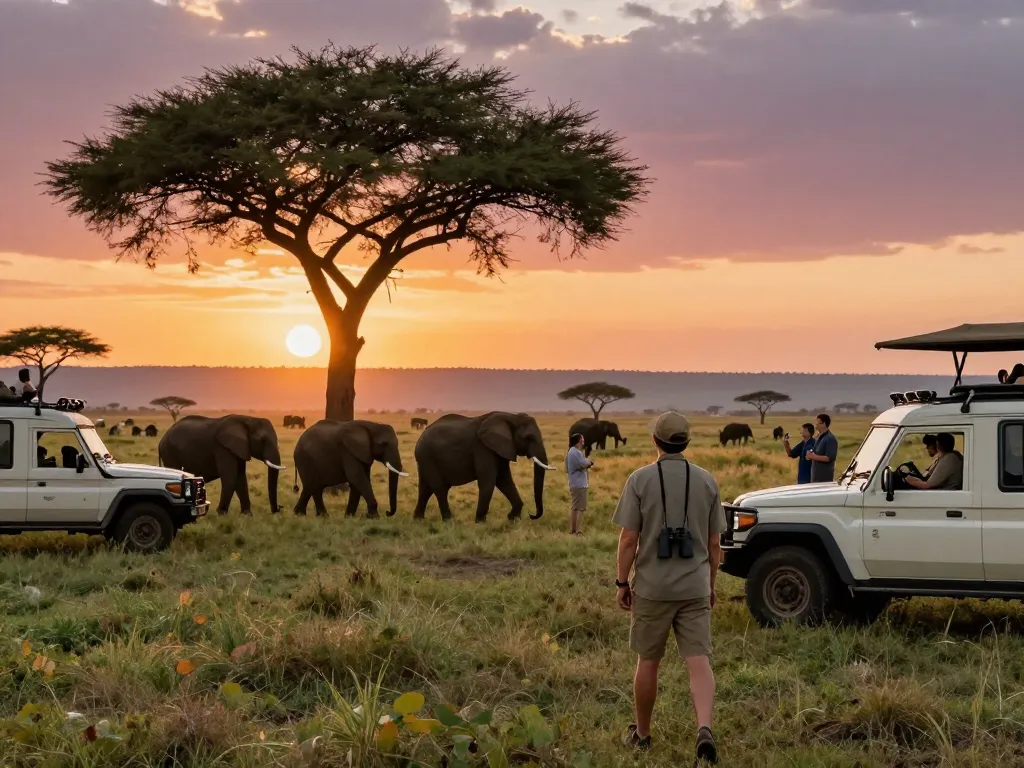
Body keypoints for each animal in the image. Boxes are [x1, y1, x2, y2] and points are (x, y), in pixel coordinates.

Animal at [413, 412, 556, 522]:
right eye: (529, 437)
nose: (532, 515)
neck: (511, 416)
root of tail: (421, 437)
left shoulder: (500, 448)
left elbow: (504, 480)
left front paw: (512, 518)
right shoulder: (482, 448)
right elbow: (489, 481)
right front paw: (480, 523)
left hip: (425, 459)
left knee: (426, 489)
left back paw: (418, 520)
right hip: (426, 457)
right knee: (439, 488)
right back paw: (449, 521)